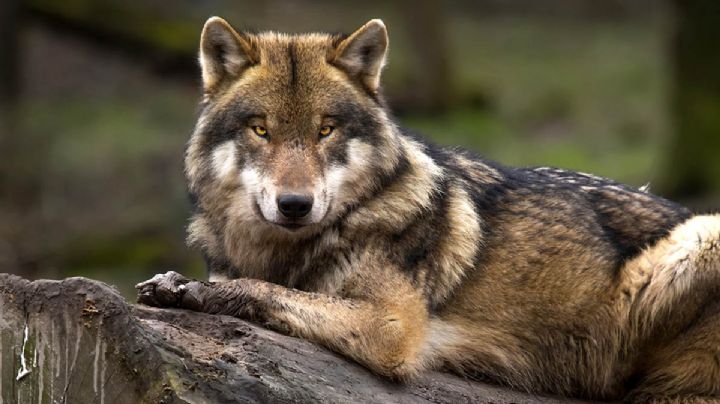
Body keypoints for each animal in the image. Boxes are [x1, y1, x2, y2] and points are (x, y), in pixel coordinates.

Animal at [136, 17, 720, 402]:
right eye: (261, 130)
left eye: (326, 130)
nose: (295, 205)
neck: (284, 250)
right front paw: (175, 284)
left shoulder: (391, 326)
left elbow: (265, 291)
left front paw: (197, 292)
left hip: (700, 241)